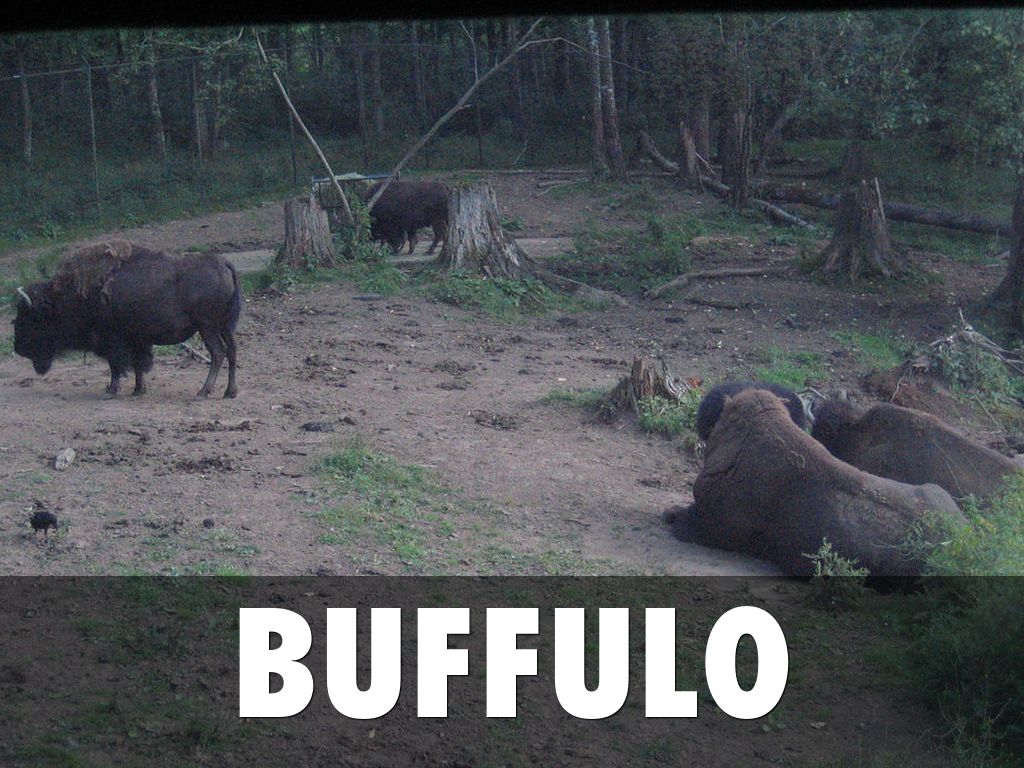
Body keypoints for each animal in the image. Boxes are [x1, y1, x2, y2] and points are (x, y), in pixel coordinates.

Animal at [13, 241, 241, 399]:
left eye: (31, 318)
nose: (18, 348)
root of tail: (223, 263)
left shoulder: (112, 339)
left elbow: (116, 365)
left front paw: (110, 391)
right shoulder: (136, 339)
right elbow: (138, 363)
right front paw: (138, 390)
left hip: (207, 327)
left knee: (218, 353)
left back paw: (203, 392)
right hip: (224, 326)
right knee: (232, 350)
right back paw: (229, 392)